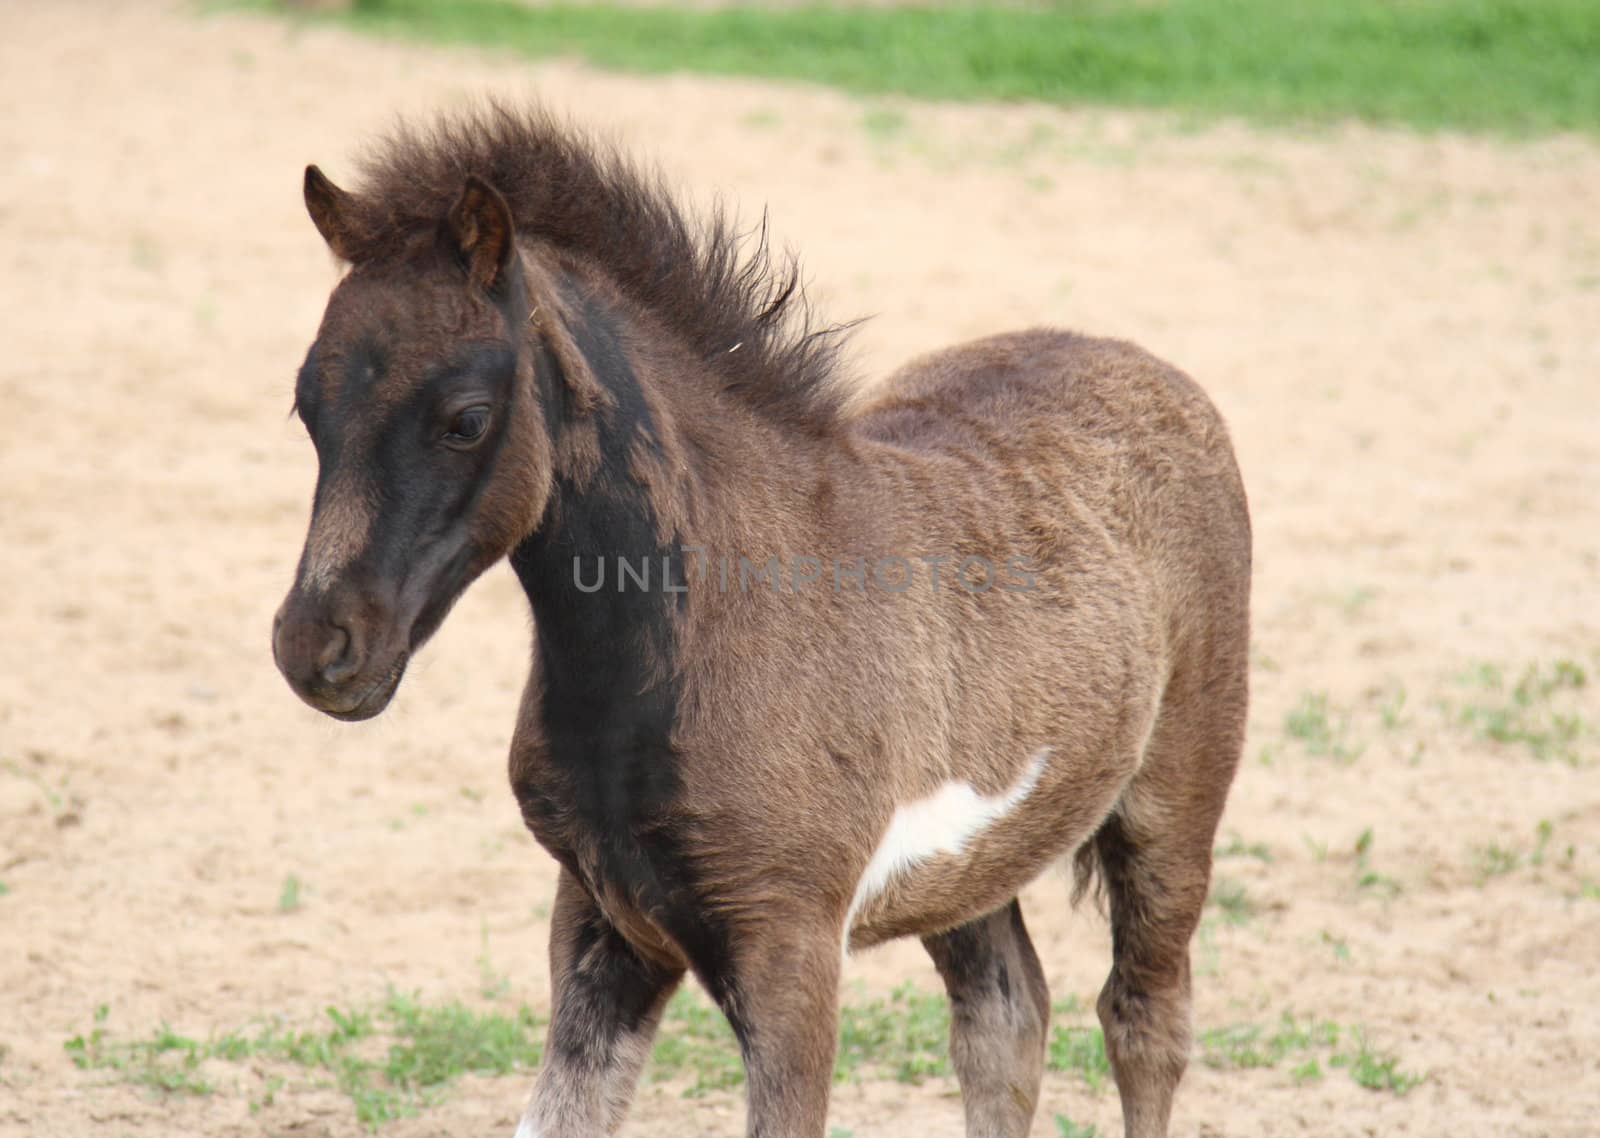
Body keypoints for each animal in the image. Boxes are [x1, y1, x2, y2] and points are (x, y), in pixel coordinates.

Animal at [272, 108, 1248, 1138]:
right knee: (1006, 1020)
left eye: (464, 418)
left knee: (1143, 1019)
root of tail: (1151, 367)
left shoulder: (791, 944)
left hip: (1175, 800)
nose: (315, 647)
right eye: (306, 406)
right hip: (974, 865)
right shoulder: (599, 920)